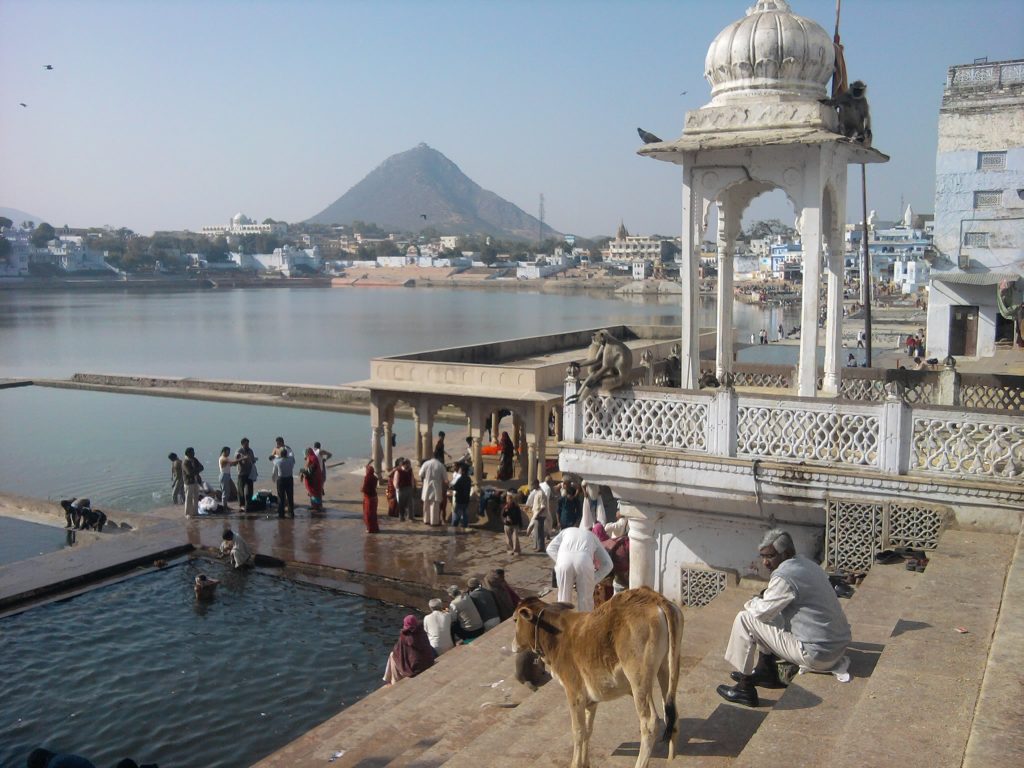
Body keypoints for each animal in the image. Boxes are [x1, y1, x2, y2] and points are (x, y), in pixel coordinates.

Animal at [509, 589, 679, 768]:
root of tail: (654, 598)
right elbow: (587, 730)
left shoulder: (574, 692)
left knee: (650, 723)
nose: (513, 645)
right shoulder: (591, 699)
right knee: (672, 712)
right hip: (666, 668)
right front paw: (585, 763)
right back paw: (671, 757)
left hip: (639, 681)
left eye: (515, 619)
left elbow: (578, 730)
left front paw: (575, 763)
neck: (555, 636)